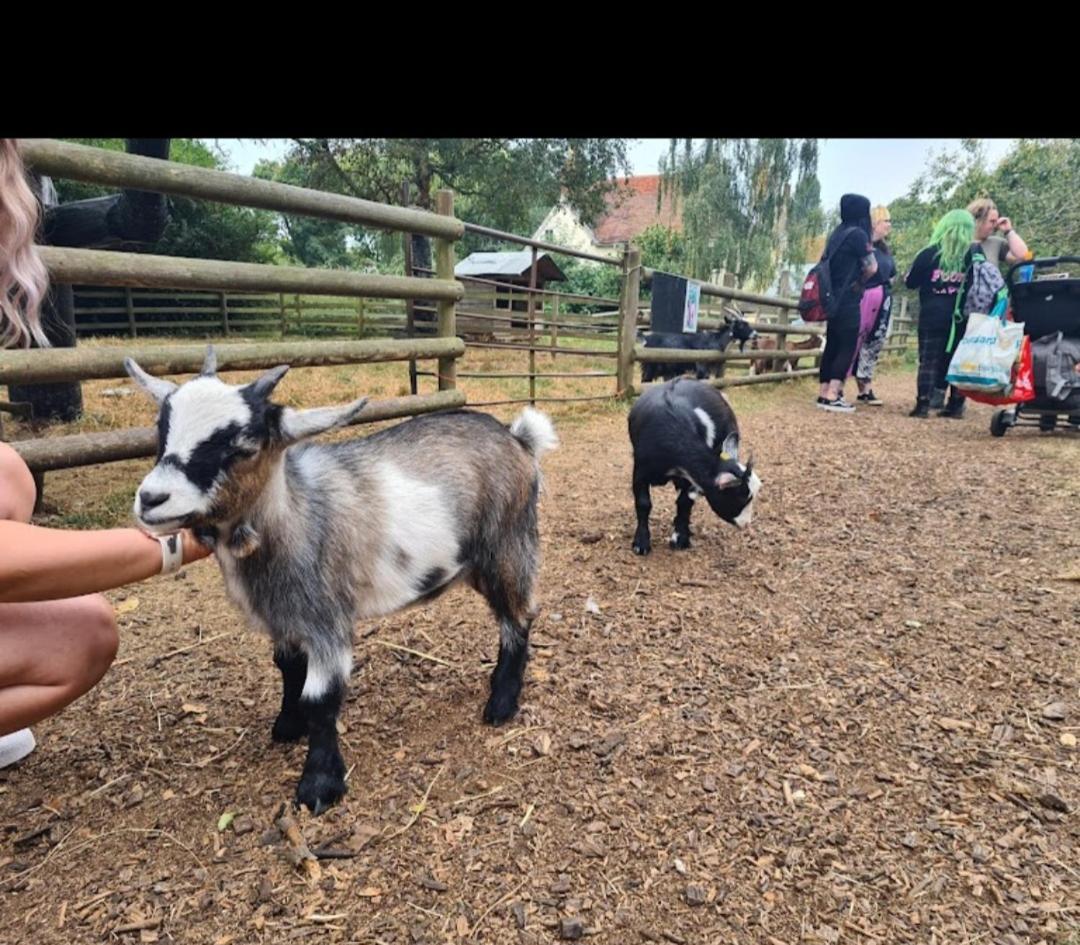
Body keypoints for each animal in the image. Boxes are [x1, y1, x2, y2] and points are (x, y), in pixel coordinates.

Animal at [128, 347, 557, 812]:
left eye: (242, 447)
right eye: (161, 432)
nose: (151, 499)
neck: (296, 514)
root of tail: (518, 437)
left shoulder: (327, 619)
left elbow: (321, 699)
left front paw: (319, 785)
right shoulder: (285, 618)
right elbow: (288, 669)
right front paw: (287, 725)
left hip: (507, 545)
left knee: (518, 616)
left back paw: (501, 703)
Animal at [626, 378, 760, 552]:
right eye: (742, 498)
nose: (746, 524)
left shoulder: (690, 478)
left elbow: (684, 502)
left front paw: (680, 538)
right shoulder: (640, 470)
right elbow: (643, 503)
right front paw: (641, 543)